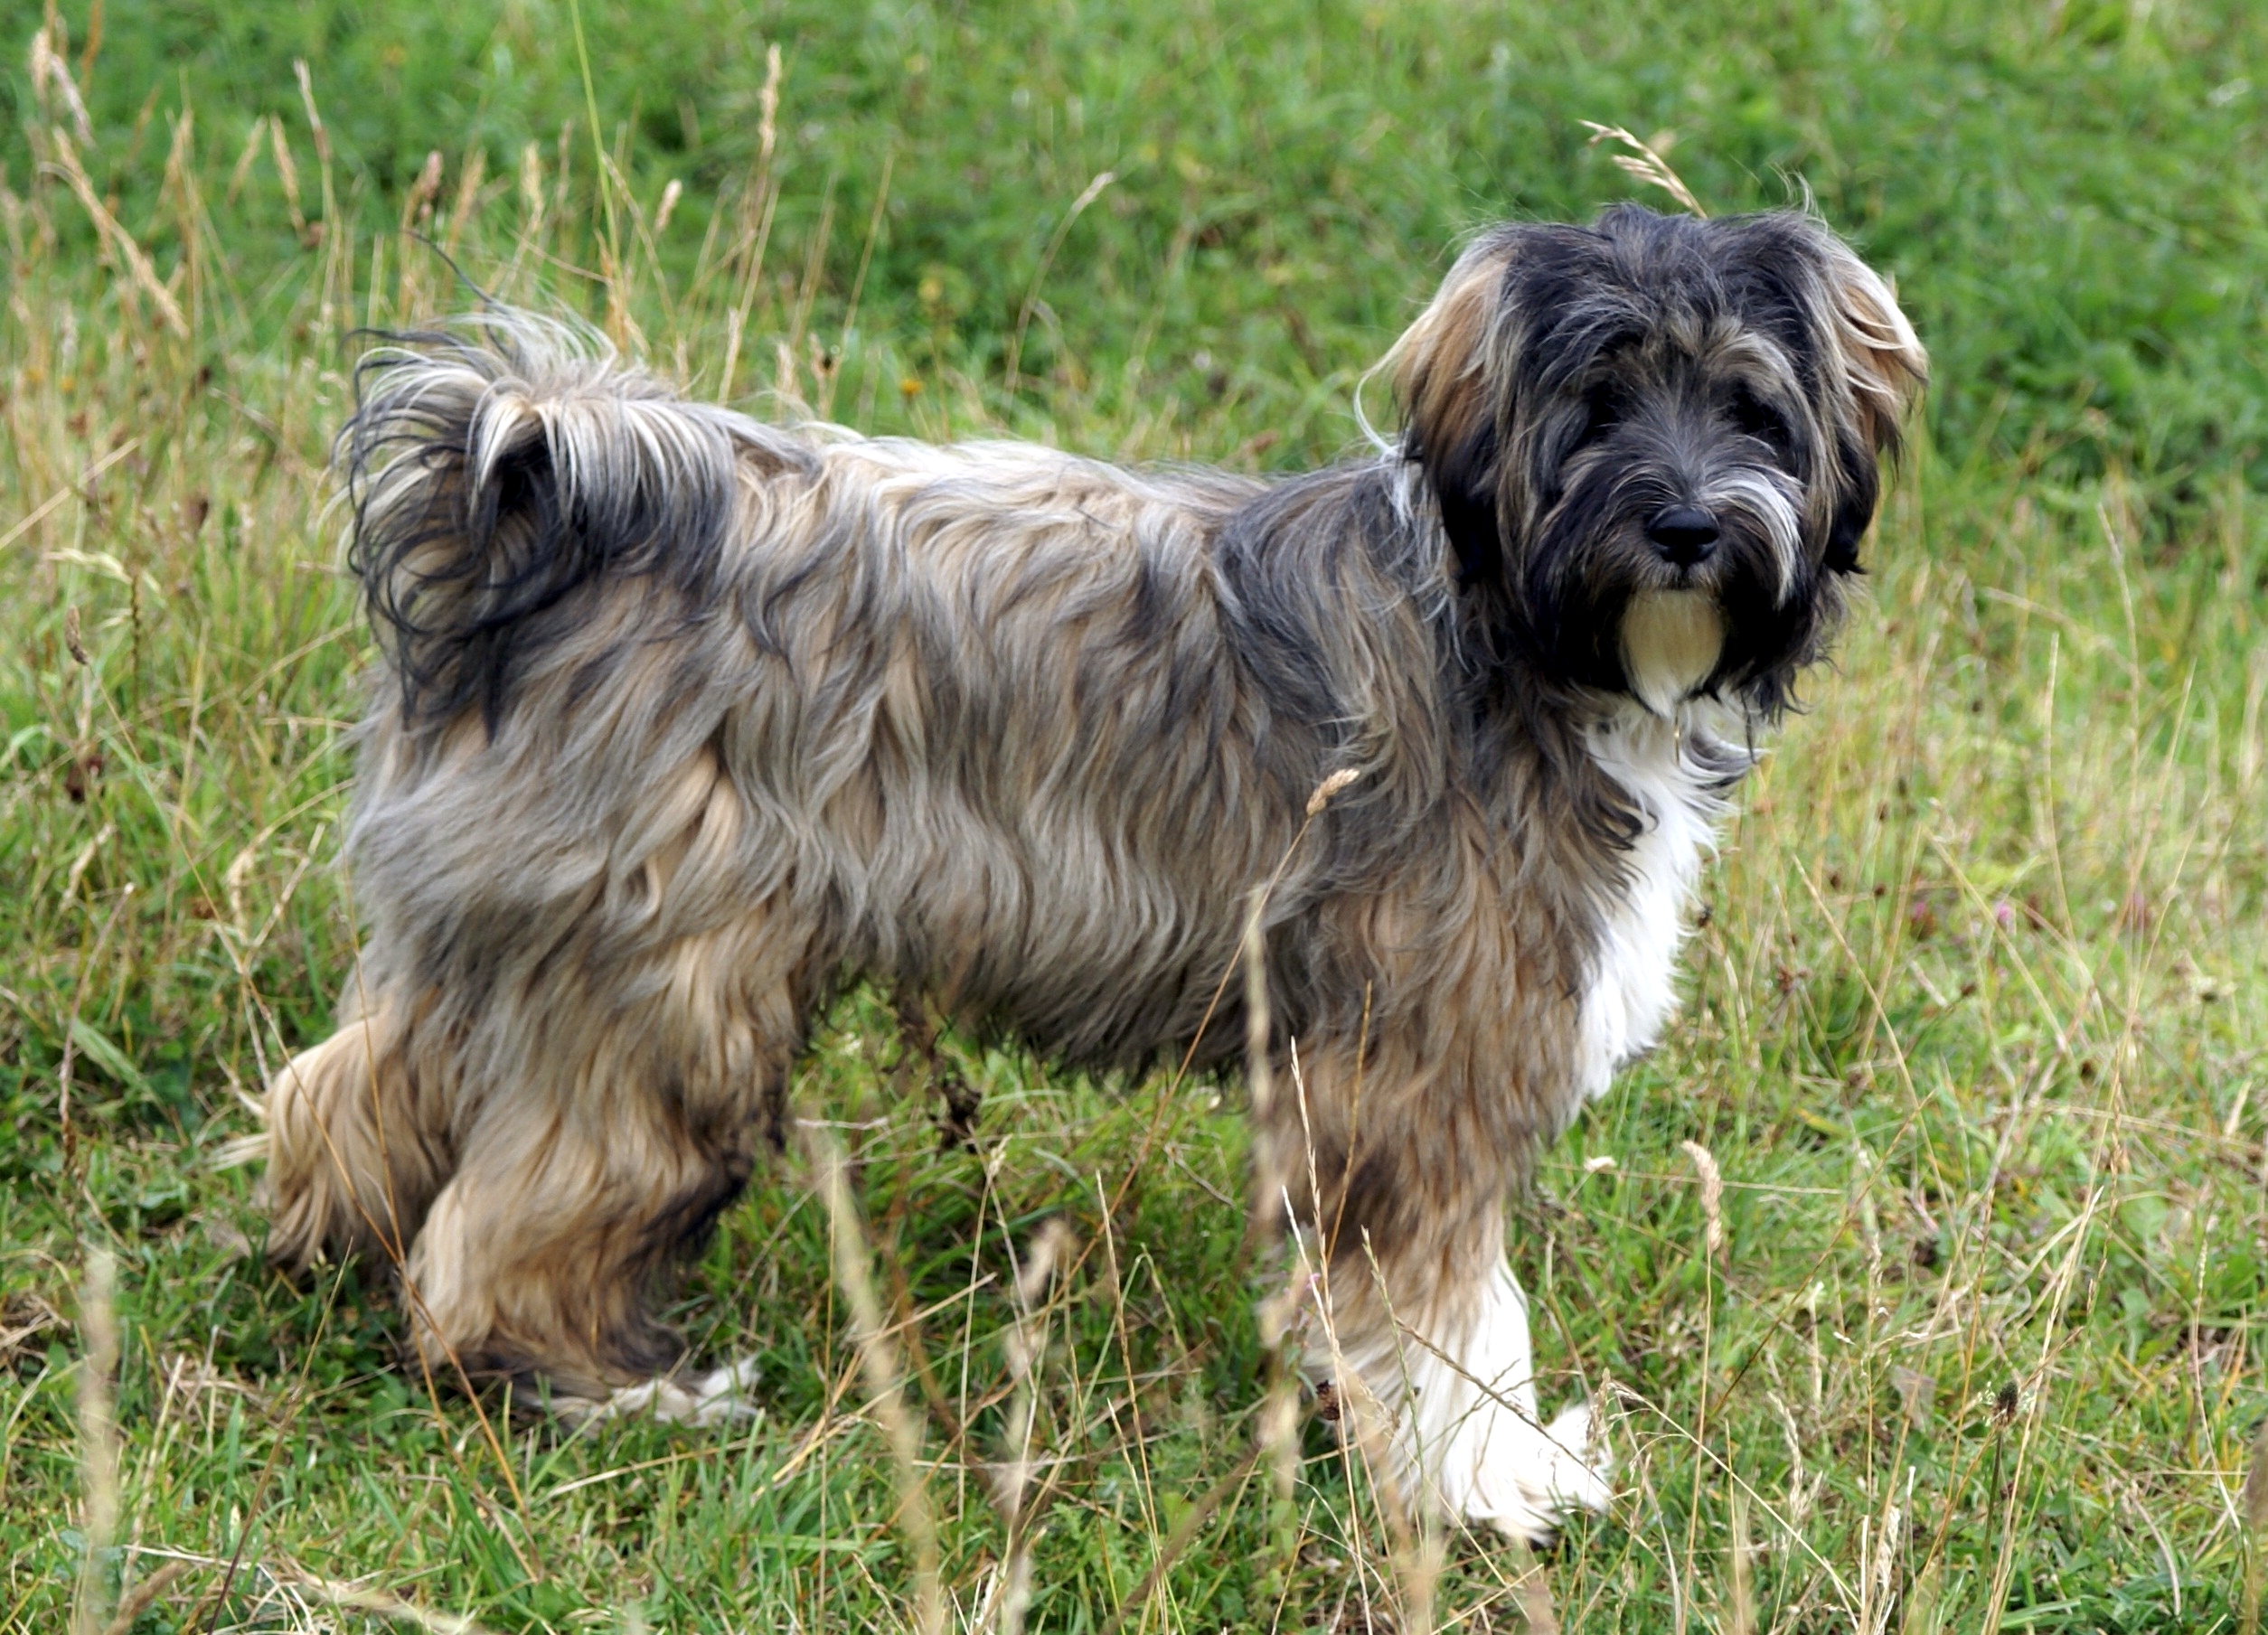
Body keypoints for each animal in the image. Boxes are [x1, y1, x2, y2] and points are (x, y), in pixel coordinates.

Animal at [269, 203, 1932, 1542]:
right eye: (1595, 405)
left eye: (1750, 407)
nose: (1686, 523)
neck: (1506, 615)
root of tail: (541, 498)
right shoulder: (1417, 1073)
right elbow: (1456, 1318)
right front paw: (1492, 1484)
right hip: (668, 987)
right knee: (509, 1227)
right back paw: (612, 1390)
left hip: (496, 934)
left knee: (358, 1087)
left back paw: (334, 1250)